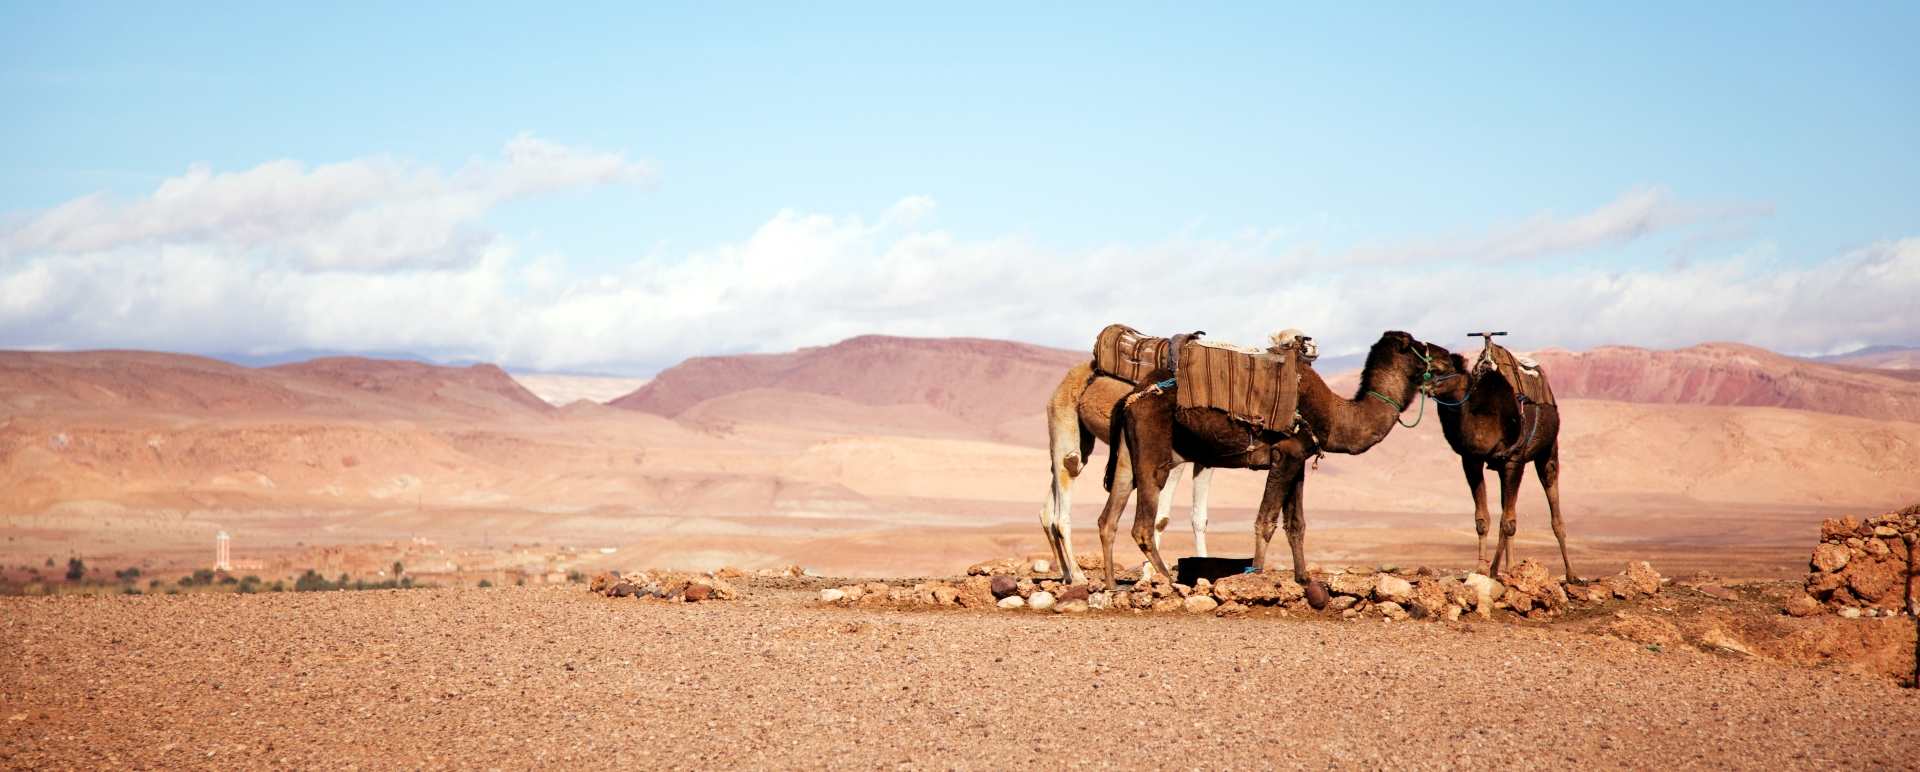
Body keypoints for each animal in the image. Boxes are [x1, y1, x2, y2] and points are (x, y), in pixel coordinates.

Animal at [1041, 361, 1214, 585]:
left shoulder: (1206, 457)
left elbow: (1200, 518)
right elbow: (1161, 519)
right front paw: (1150, 575)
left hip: (1080, 442)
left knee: (1048, 509)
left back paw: (1067, 575)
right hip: (1064, 430)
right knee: (1063, 497)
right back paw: (1079, 576)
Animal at [1103, 331, 1460, 607]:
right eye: (1417, 345)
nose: (1451, 357)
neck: (1334, 415)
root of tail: (1132, 396)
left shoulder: (1298, 460)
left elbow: (1296, 524)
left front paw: (1303, 578)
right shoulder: (1285, 453)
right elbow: (1265, 521)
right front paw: (1254, 579)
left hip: (1127, 457)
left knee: (1108, 518)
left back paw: (1110, 584)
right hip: (1154, 455)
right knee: (1142, 525)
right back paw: (1169, 582)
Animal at [1430, 333, 1575, 581]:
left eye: (1442, 367)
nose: (1425, 384)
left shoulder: (1514, 460)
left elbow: (1508, 522)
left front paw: (1492, 570)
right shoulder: (1472, 461)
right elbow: (1484, 519)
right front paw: (1482, 569)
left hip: (1548, 453)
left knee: (1551, 506)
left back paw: (1571, 573)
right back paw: (1509, 567)